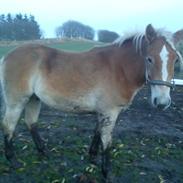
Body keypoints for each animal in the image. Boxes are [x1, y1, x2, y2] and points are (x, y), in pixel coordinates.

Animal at [1, 24, 183, 182]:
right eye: (149, 59)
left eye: (175, 60)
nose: (162, 102)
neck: (118, 69)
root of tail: (7, 56)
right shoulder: (110, 112)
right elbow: (107, 141)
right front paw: (107, 173)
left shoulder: (103, 112)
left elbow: (97, 133)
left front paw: (93, 158)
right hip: (17, 101)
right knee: (8, 125)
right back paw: (13, 160)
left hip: (34, 98)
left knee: (31, 122)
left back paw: (43, 151)